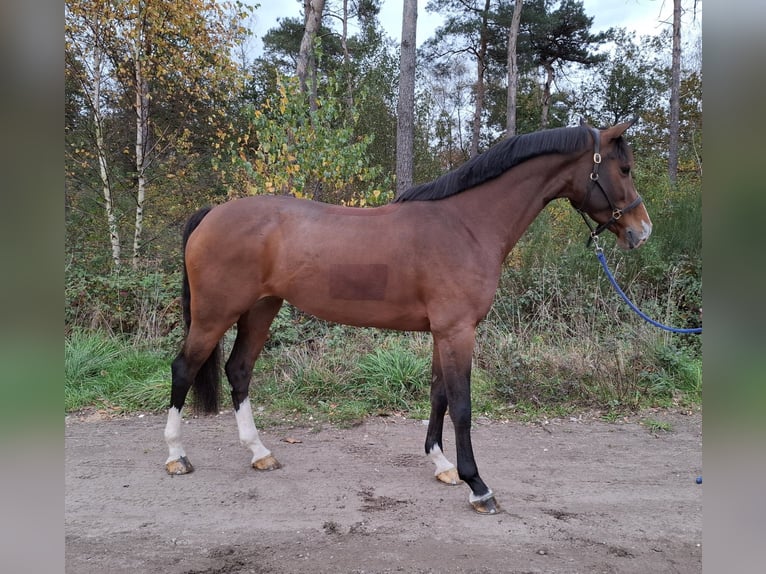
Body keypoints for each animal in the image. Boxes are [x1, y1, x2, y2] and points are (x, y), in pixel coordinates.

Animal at [164, 119, 656, 516]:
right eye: (624, 169)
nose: (642, 231)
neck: (467, 225)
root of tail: (213, 213)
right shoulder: (457, 331)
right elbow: (462, 406)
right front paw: (478, 486)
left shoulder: (444, 331)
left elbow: (438, 395)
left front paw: (442, 465)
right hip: (215, 313)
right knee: (184, 368)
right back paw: (176, 457)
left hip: (261, 308)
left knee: (239, 369)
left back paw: (259, 452)